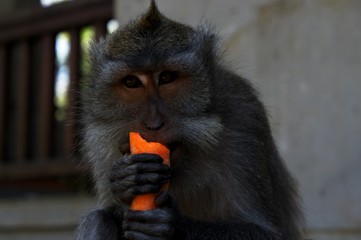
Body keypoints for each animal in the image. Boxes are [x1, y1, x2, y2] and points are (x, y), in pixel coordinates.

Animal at [76, 0, 304, 239]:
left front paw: (173, 224)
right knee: (98, 219)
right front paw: (124, 181)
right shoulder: (99, 141)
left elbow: (263, 232)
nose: (153, 124)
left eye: (167, 77)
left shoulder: (245, 119)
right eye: (131, 82)